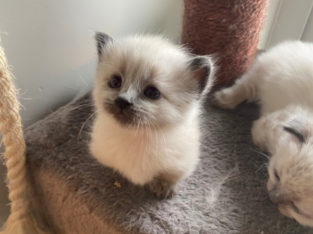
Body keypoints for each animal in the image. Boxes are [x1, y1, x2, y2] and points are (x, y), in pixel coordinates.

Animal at [89, 32, 213, 198]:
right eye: (115, 82)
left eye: (152, 93)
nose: (122, 101)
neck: (135, 137)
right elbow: (113, 168)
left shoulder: (180, 164)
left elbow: (168, 175)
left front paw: (163, 187)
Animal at [213, 41, 312, 228]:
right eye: (277, 175)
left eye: (296, 208)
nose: (272, 199)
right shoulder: (274, 119)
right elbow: (259, 129)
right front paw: (260, 143)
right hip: (267, 71)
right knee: (246, 86)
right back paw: (223, 99)